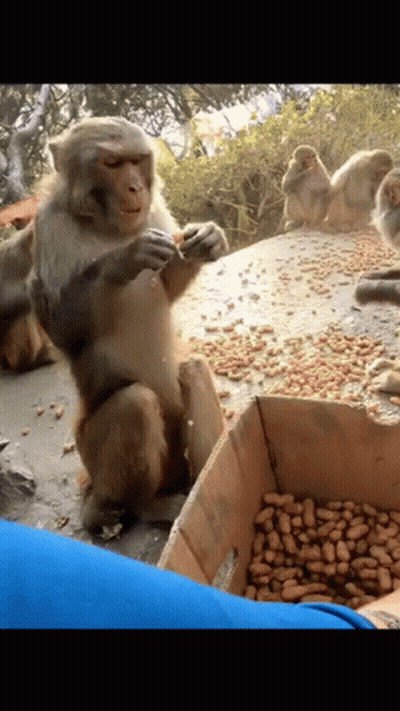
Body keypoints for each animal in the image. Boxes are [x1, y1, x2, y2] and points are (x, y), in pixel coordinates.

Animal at [29, 116, 229, 539]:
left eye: (136, 160)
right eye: (111, 164)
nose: (135, 186)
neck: (105, 227)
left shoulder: (153, 213)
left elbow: (167, 284)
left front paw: (207, 238)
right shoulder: (48, 226)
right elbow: (63, 331)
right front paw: (124, 258)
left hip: (175, 458)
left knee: (193, 369)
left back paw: (208, 477)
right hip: (94, 457)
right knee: (135, 403)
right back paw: (139, 508)